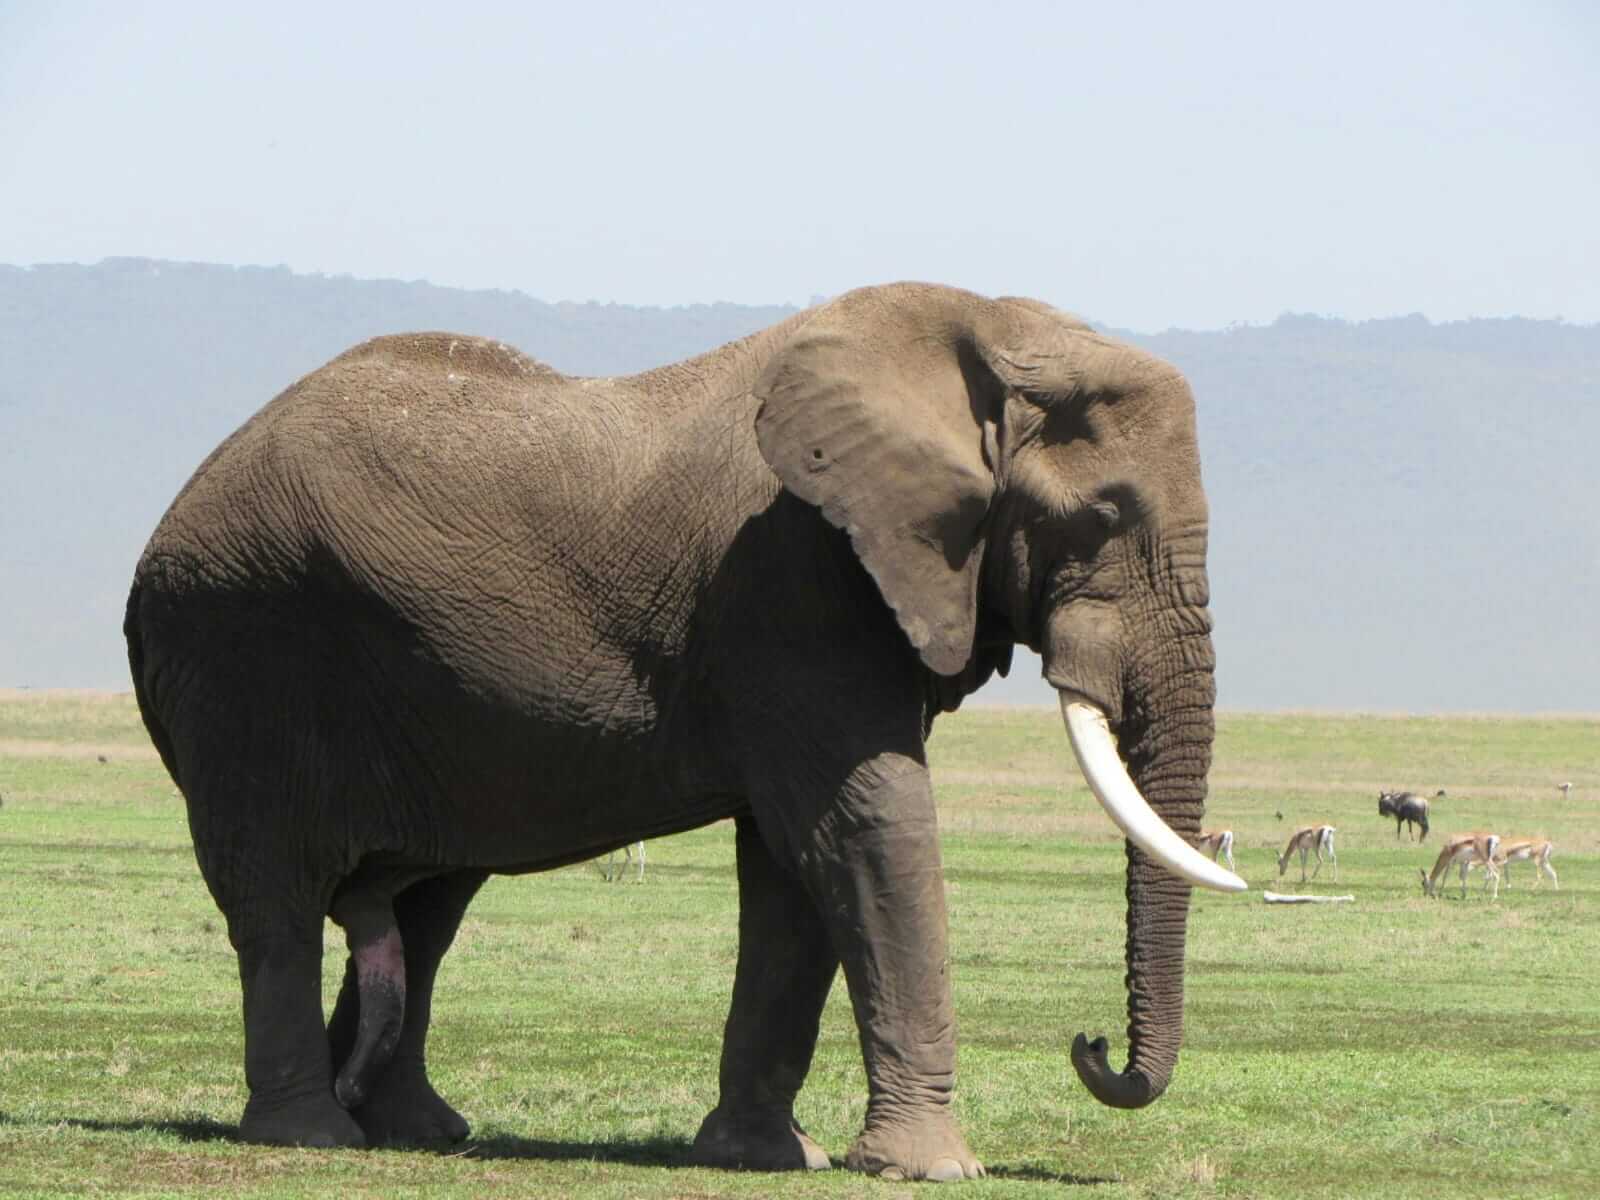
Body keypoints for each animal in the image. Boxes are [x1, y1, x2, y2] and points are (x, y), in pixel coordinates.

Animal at [123, 282, 1245, 1181]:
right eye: (1103, 517)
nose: (1090, 1045)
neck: (983, 337)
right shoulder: (796, 578)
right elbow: (863, 829)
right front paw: (929, 1170)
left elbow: (796, 868)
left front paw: (765, 1157)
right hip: (243, 657)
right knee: (277, 894)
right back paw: (309, 1134)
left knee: (423, 906)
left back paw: (415, 1131)